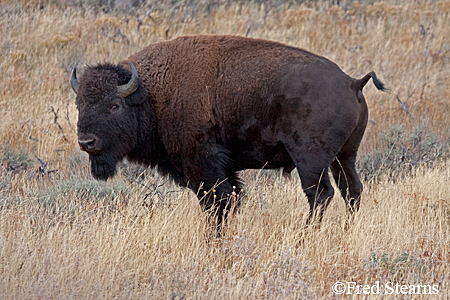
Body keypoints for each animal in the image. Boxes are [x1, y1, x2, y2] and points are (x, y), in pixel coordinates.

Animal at [70, 34, 384, 227]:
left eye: (114, 105)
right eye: (79, 103)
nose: (87, 142)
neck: (152, 92)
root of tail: (352, 82)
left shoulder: (203, 165)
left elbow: (217, 203)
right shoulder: (224, 169)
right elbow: (231, 199)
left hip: (311, 160)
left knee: (320, 194)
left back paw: (305, 236)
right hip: (344, 156)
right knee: (351, 190)